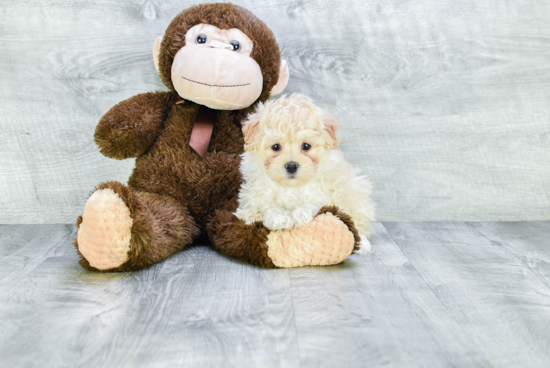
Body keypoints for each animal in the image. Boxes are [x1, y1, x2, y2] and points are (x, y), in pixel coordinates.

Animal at [235, 94, 378, 253]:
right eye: (275, 147)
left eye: (306, 146)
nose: (291, 165)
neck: (291, 187)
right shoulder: (250, 205)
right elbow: (266, 207)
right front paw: (280, 218)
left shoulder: (328, 193)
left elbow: (315, 202)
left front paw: (301, 213)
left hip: (355, 191)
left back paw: (362, 243)